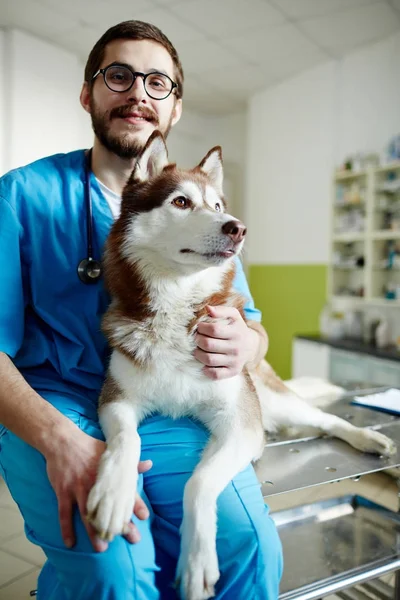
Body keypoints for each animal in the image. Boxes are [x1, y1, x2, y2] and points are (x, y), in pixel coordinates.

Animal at [86, 131, 396, 600]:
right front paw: (113, 494)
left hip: (271, 397)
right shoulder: (115, 400)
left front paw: (196, 561)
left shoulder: (240, 420)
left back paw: (367, 438)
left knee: (326, 419)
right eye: (180, 202)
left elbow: (198, 482)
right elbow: (126, 441)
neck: (178, 306)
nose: (237, 227)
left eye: (217, 205)